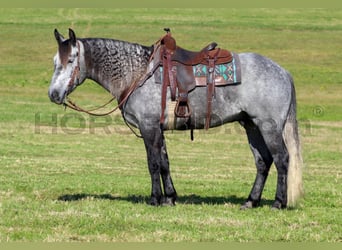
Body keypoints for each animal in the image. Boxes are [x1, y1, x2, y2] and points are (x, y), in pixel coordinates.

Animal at [48, 28, 304, 209]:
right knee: (263, 162)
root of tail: (283, 72)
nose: (54, 94)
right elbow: (164, 162)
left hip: (268, 126)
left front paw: (155, 199)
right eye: (54, 62)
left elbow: (152, 163)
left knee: (282, 159)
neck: (137, 72)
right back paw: (250, 201)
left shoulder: (148, 127)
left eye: (70, 60)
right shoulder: (158, 129)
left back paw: (278, 202)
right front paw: (170, 198)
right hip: (251, 125)